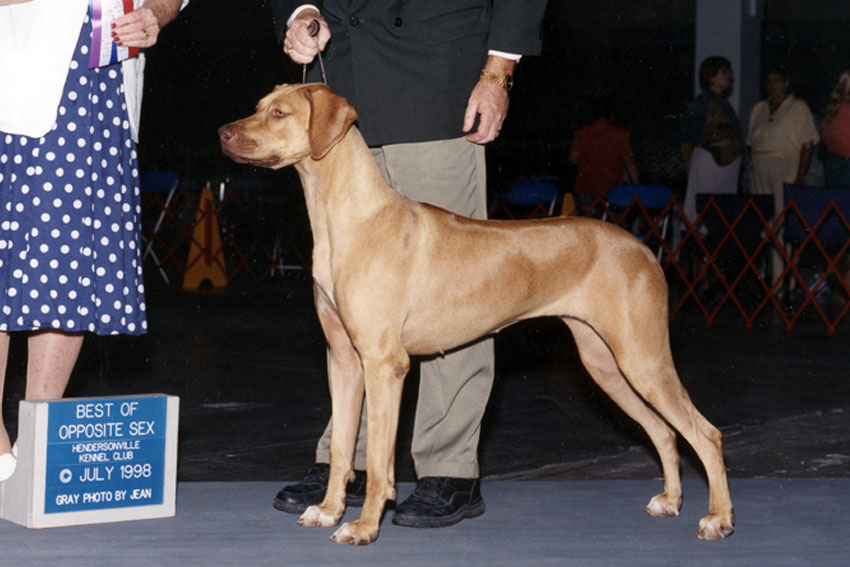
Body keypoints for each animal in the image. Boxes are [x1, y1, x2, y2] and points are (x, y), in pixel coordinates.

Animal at [219, 84, 736, 544]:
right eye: (259, 106)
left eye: (280, 113)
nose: (223, 132)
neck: (351, 217)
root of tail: (644, 248)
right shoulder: (344, 360)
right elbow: (344, 447)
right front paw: (328, 510)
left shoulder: (386, 365)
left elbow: (382, 461)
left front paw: (364, 528)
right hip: (605, 363)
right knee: (664, 431)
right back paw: (670, 500)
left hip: (642, 357)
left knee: (705, 433)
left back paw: (717, 518)